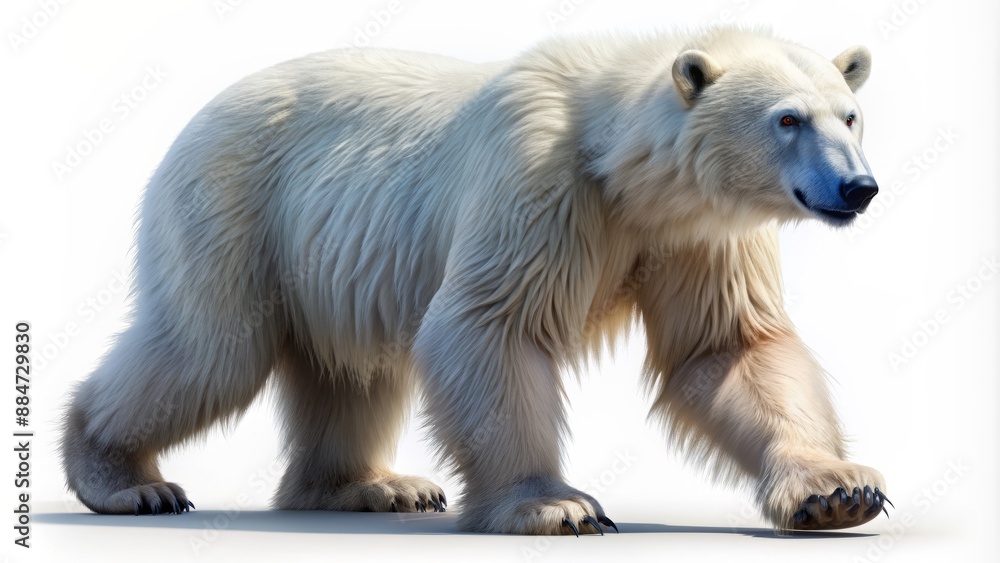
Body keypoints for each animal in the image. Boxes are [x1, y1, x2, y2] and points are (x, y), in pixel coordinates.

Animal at [62, 26, 890, 535]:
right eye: (788, 119)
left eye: (850, 115)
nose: (858, 188)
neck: (619, 168)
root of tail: (193, 122)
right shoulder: (539, 181)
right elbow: (490, 324)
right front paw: (557, 505)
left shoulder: (695, 236)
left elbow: (726, 348)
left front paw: (837, 490)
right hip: (235, 205)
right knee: (207, 349)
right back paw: (126, 480)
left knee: (351, 369)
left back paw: (378, 485)